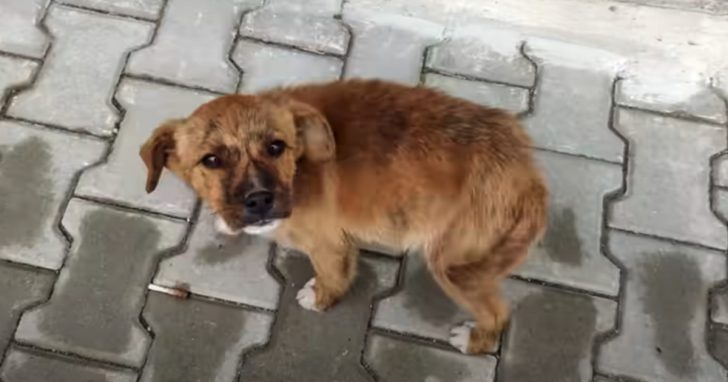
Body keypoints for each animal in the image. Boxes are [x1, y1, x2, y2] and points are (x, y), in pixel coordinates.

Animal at [139, 78, 544, 356]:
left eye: (276, 147)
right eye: (211, 160)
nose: (259, 200)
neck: (300, 168)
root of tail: (527, 175)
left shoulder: (328, 244)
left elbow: (333, 277)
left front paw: (320, 298)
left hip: (453, 263)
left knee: (497, 312)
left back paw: (474, 340)